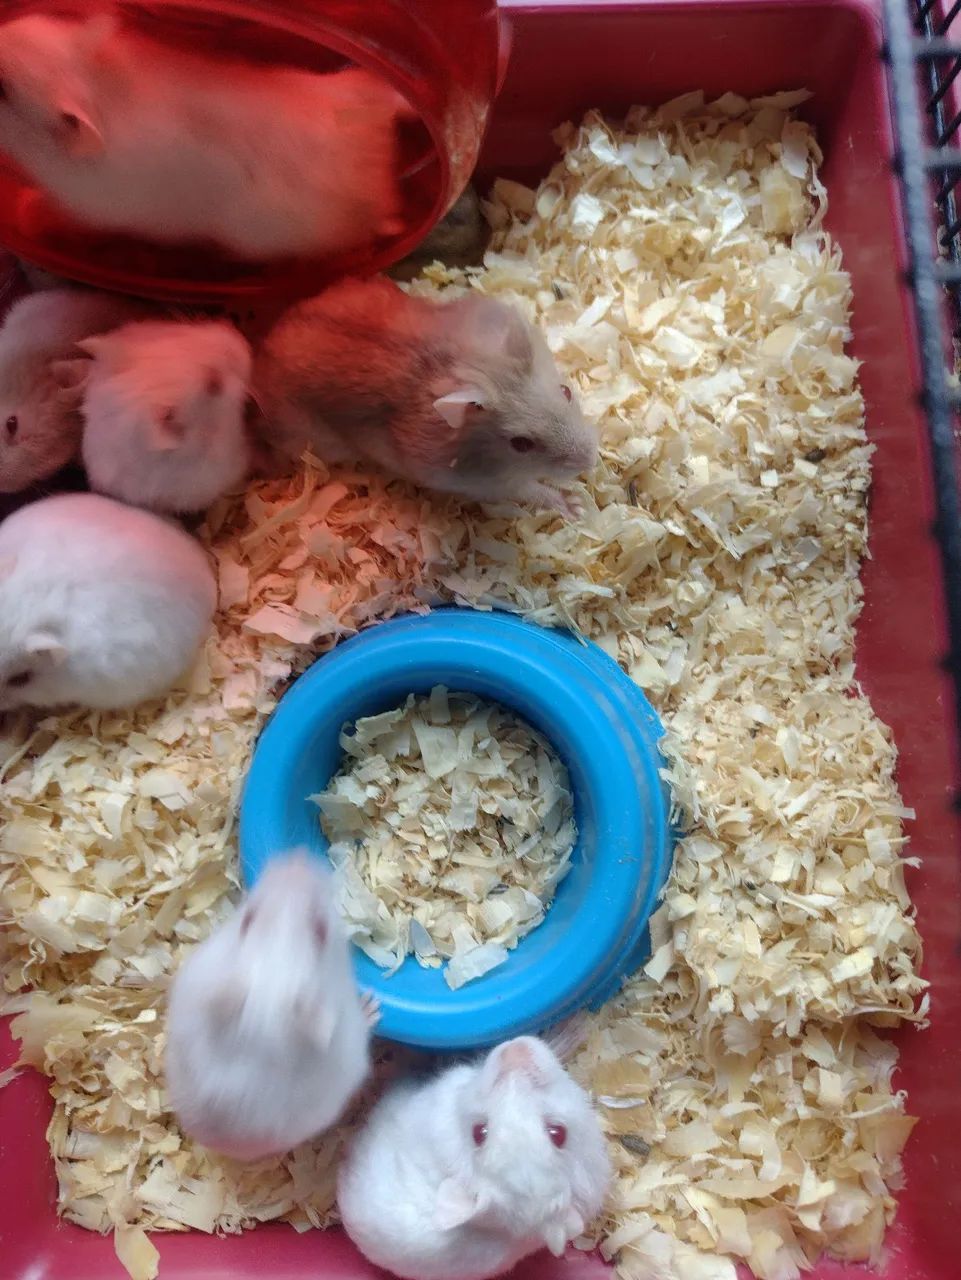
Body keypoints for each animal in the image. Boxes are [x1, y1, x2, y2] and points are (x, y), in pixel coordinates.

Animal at [252, 276, 598, 515]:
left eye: (566, 391)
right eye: (521, 444)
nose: (590, 462)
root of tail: (265, 344)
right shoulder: (489, 483)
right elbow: (533, 490)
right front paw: (576, 507)